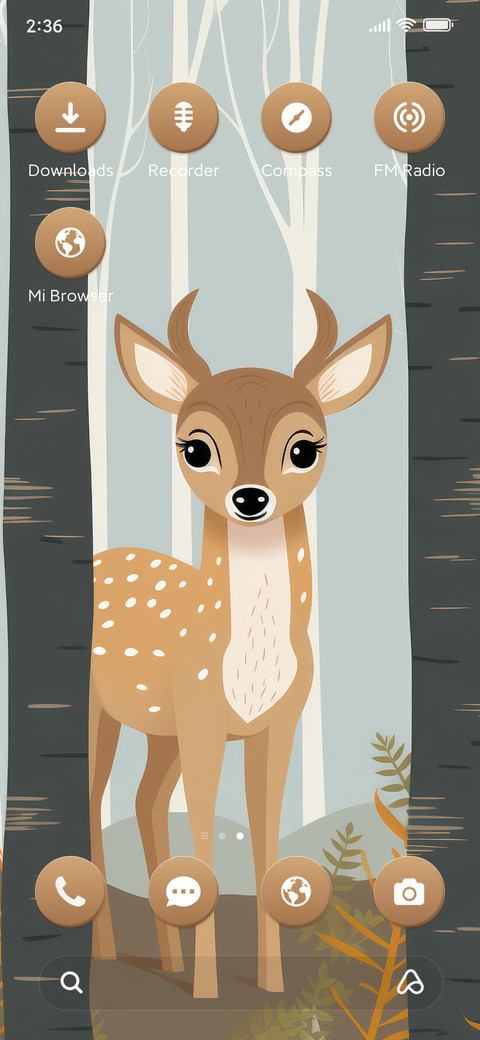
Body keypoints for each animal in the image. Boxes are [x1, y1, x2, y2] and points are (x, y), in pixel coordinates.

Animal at [89, 289, 391, 999]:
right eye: (195, 448)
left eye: (304, 448)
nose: (249, 498)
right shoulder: (202, 715)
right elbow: (204, 830)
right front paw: (208, 991)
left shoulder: (277, 722)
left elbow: (265, 833)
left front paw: (272, 984)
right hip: (104, 711)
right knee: (94, 804)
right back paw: (111, 955)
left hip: (161, 729)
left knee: (144, 800)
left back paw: (165, 959)